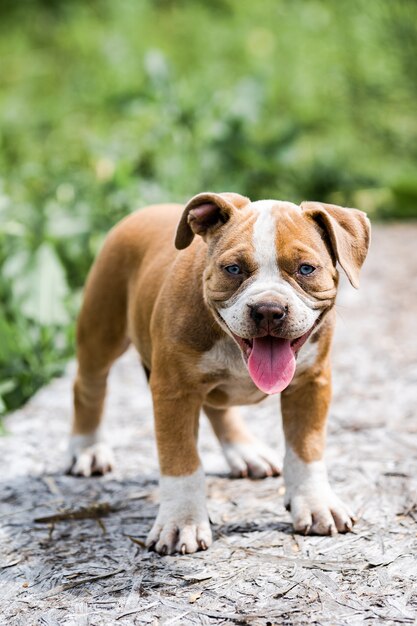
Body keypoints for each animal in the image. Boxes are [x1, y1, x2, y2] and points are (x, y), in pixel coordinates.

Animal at [66, 190, 368, 552]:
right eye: (233, 269)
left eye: (306, 269)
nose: (269, 309)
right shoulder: (175, 392)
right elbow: (181, 461)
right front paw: (181, 522)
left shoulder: (311, 383)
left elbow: (306, 448)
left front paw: (315, 502)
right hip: (101, 329)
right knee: (89, 385)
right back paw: (88, 448)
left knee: (217, 406)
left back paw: (246, 452)